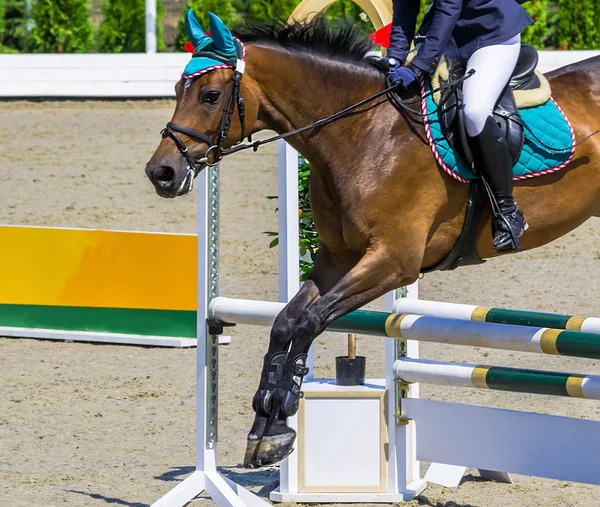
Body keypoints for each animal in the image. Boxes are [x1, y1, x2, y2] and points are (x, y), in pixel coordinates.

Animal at [145, 14, 600, 468]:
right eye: (176, 92)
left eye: (210, 95)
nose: (161, 173)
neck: (362, 132)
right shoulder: (338, 258)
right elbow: (285, 322)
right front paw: (264, 429)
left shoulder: (393, 261)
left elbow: (310, 321)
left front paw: (281, 418)